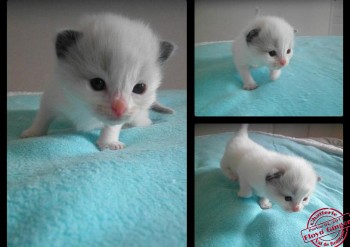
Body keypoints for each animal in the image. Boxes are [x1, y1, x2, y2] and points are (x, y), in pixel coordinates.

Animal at [21, 13, 174, 151]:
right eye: (97, 84)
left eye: (139, 88)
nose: (120, 109)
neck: (84, 109)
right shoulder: (52, 94)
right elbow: (42, 117)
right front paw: (33, 133)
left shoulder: (117, 118)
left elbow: (111, 127)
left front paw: (109, 143)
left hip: (139, 118)